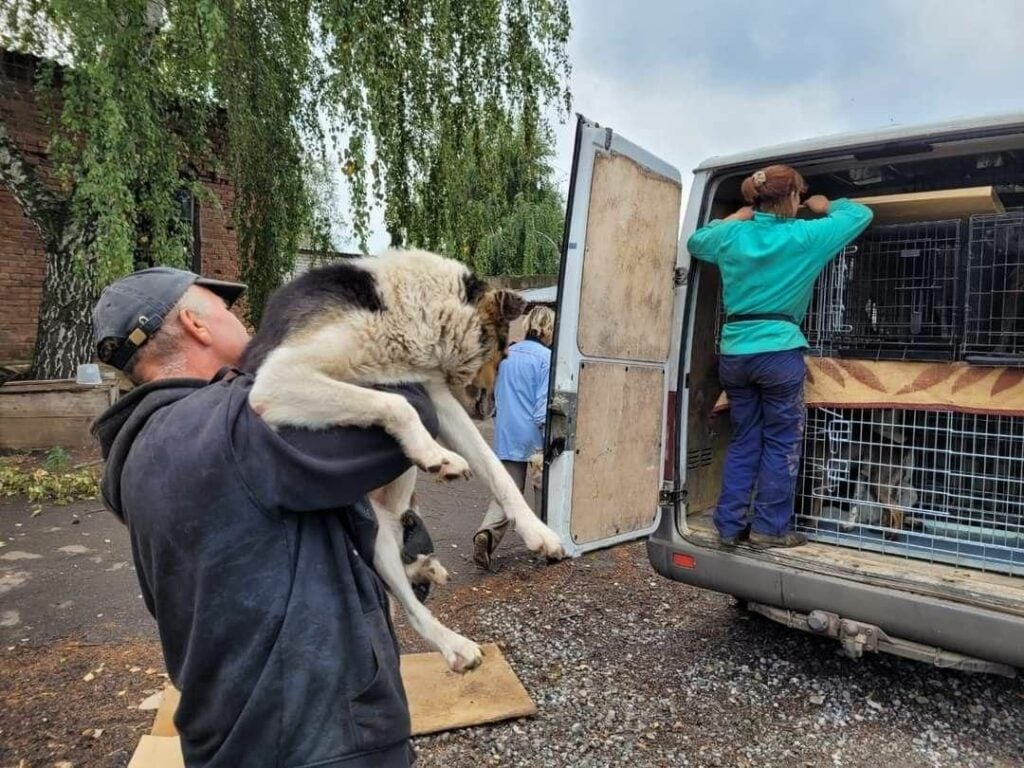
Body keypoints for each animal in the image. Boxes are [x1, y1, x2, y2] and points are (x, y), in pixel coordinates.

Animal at [238, 247, 565, 671]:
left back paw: (428, 570)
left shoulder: (436, 398)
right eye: (505, 350)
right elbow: (394, 402)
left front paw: (537, 531)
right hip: (376, 540)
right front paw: (435, 454)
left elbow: (495, 469)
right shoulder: (278, 378)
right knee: (411, 608)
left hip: (391, 523)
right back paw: (456, 646)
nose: (493, 408)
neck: (405, 314)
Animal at [798, 409, 1024, 577]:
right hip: (879, 484)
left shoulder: (821, 479)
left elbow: (815, 504)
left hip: (881, 485)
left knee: (897, 511)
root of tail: (899, 448)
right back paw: (887, 530)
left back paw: (894, 535)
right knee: (889, 511)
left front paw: (810, 524)